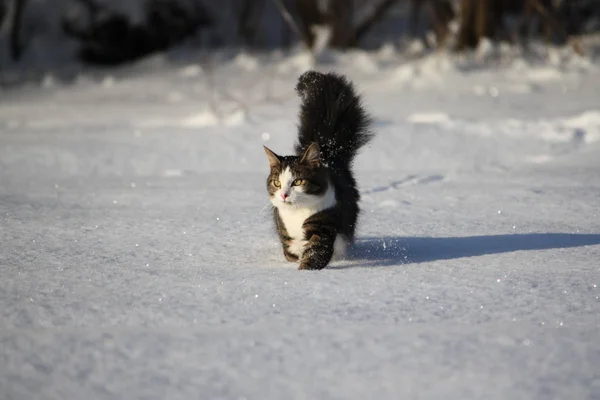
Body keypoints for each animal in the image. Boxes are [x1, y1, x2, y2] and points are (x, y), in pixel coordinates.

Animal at [264, 71, 372, 272]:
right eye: (277, 183)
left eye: (298, 181)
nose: (284, 195)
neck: (297, 214)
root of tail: (327, 152)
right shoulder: (284, 227)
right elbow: (290, 250)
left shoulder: (324, 223)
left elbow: (315, 252)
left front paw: (306, 272)